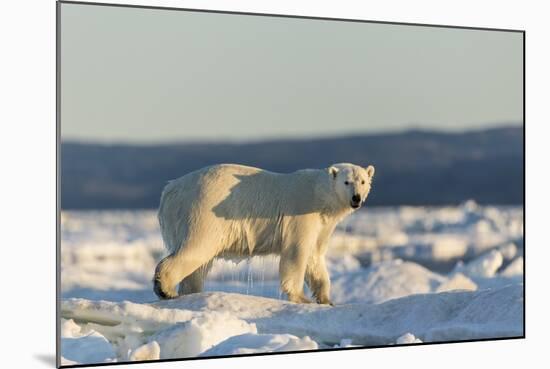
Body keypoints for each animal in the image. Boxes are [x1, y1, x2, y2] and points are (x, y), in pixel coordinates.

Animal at [153, 162, 376, 304]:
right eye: (347, 182)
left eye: (363, 181)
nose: (356, 198)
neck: (319, 195)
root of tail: (170, 190)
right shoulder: (301, 213)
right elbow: (297, 252)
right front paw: (301, 298)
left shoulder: (323, 224)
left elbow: (315, 257)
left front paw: (327, 299)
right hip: (204, 210)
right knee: (197, 248)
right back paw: (165, 289)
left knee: (198, 264)